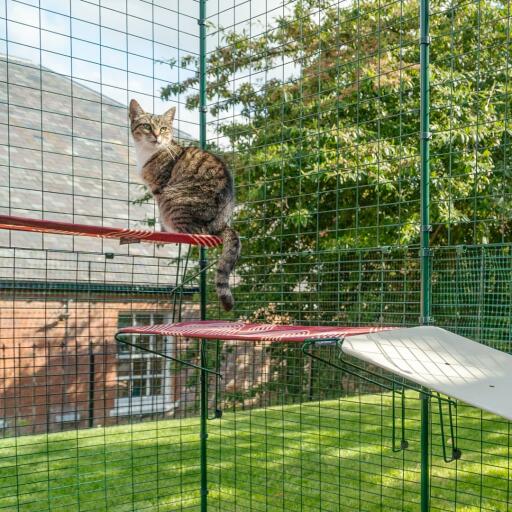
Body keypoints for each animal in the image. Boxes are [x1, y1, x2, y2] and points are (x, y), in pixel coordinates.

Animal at [128, 98, 240, 310]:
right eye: (147, 126)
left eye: (163, 128)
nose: (157, 136)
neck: (148, 152)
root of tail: (221, 223)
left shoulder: (160, 188)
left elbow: (159, 218)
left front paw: (162, 234)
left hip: (172, 199)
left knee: (196, 233)